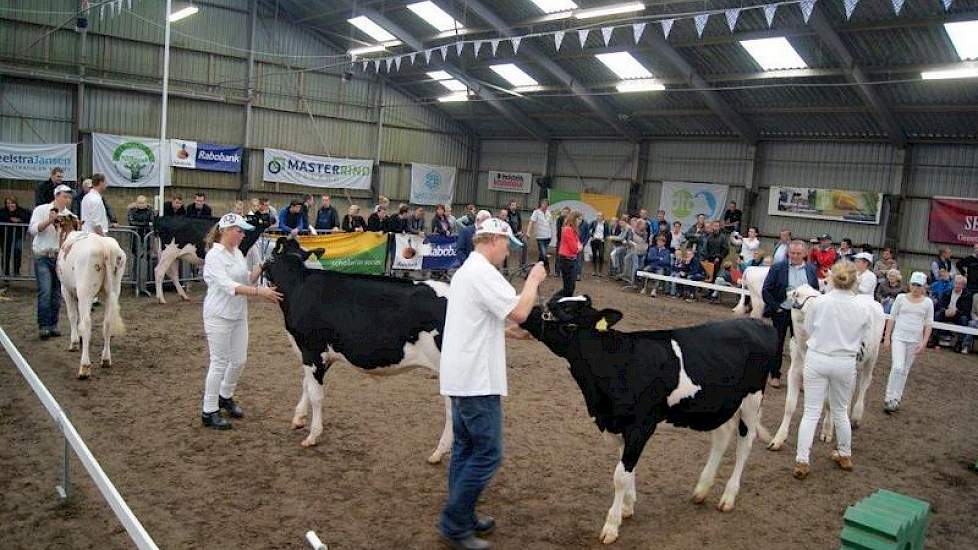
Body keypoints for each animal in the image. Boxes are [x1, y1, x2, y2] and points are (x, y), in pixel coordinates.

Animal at [264, 239, 454, 464]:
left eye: (269, 257)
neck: (298, 288)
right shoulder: (321, 355)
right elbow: (306, 385)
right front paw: (298, 418)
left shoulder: (311, 350)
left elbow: (316, 394)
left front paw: (312, 435)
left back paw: (439, 452)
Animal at [520, 296, 776, 544]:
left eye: (568, 313)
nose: (528, 311)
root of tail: (757, 324)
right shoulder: (616, 424)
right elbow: (626, 468)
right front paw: (627, 506)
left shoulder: (641, 425)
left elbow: (620, 475)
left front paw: (611, 526)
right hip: (721, 404)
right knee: (722, 437)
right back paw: (701, 490)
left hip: (752, 399)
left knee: (745, 444)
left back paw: (728, 497)